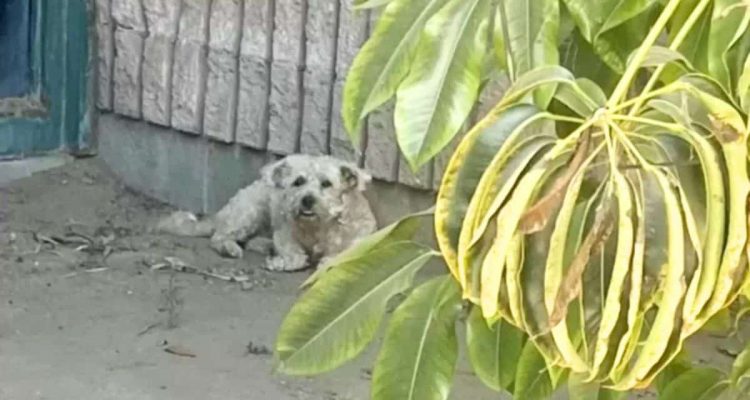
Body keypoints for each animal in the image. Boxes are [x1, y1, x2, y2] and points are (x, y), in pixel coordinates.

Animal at [159, 153, 382, 272]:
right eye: (298, 181)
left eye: (326, 183)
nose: (307, 200)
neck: (319, 225)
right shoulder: (284, 235)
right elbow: (296, 256)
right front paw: (281, 262)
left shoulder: (359, 239)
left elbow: (337, 256)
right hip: (251, 211)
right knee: (220, 237)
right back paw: (230, 248)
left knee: (250, 240)